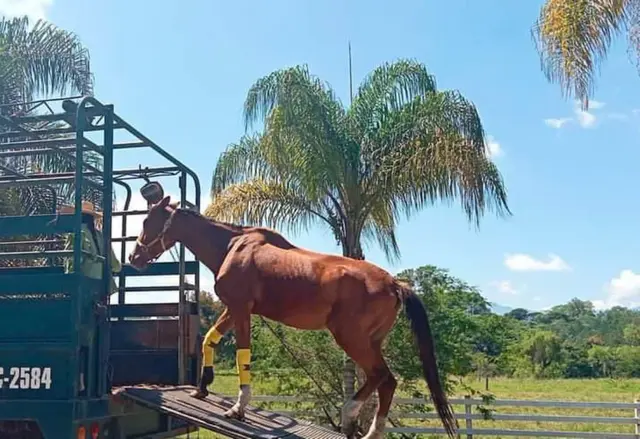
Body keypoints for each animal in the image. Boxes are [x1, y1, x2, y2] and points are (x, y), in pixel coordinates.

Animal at [127, 197, 458, 439]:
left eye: (146, 220)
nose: (134, 257)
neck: (233, 247)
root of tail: (394, 283)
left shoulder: (241, 309)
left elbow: (242, 356)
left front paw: (237, 408)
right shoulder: (233, 309)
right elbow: (210, 338)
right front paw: (202, 386)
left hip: (351, 338)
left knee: (381, 376)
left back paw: (349, 414)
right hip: (371, 341)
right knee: (387, 382)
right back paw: (370, 431)